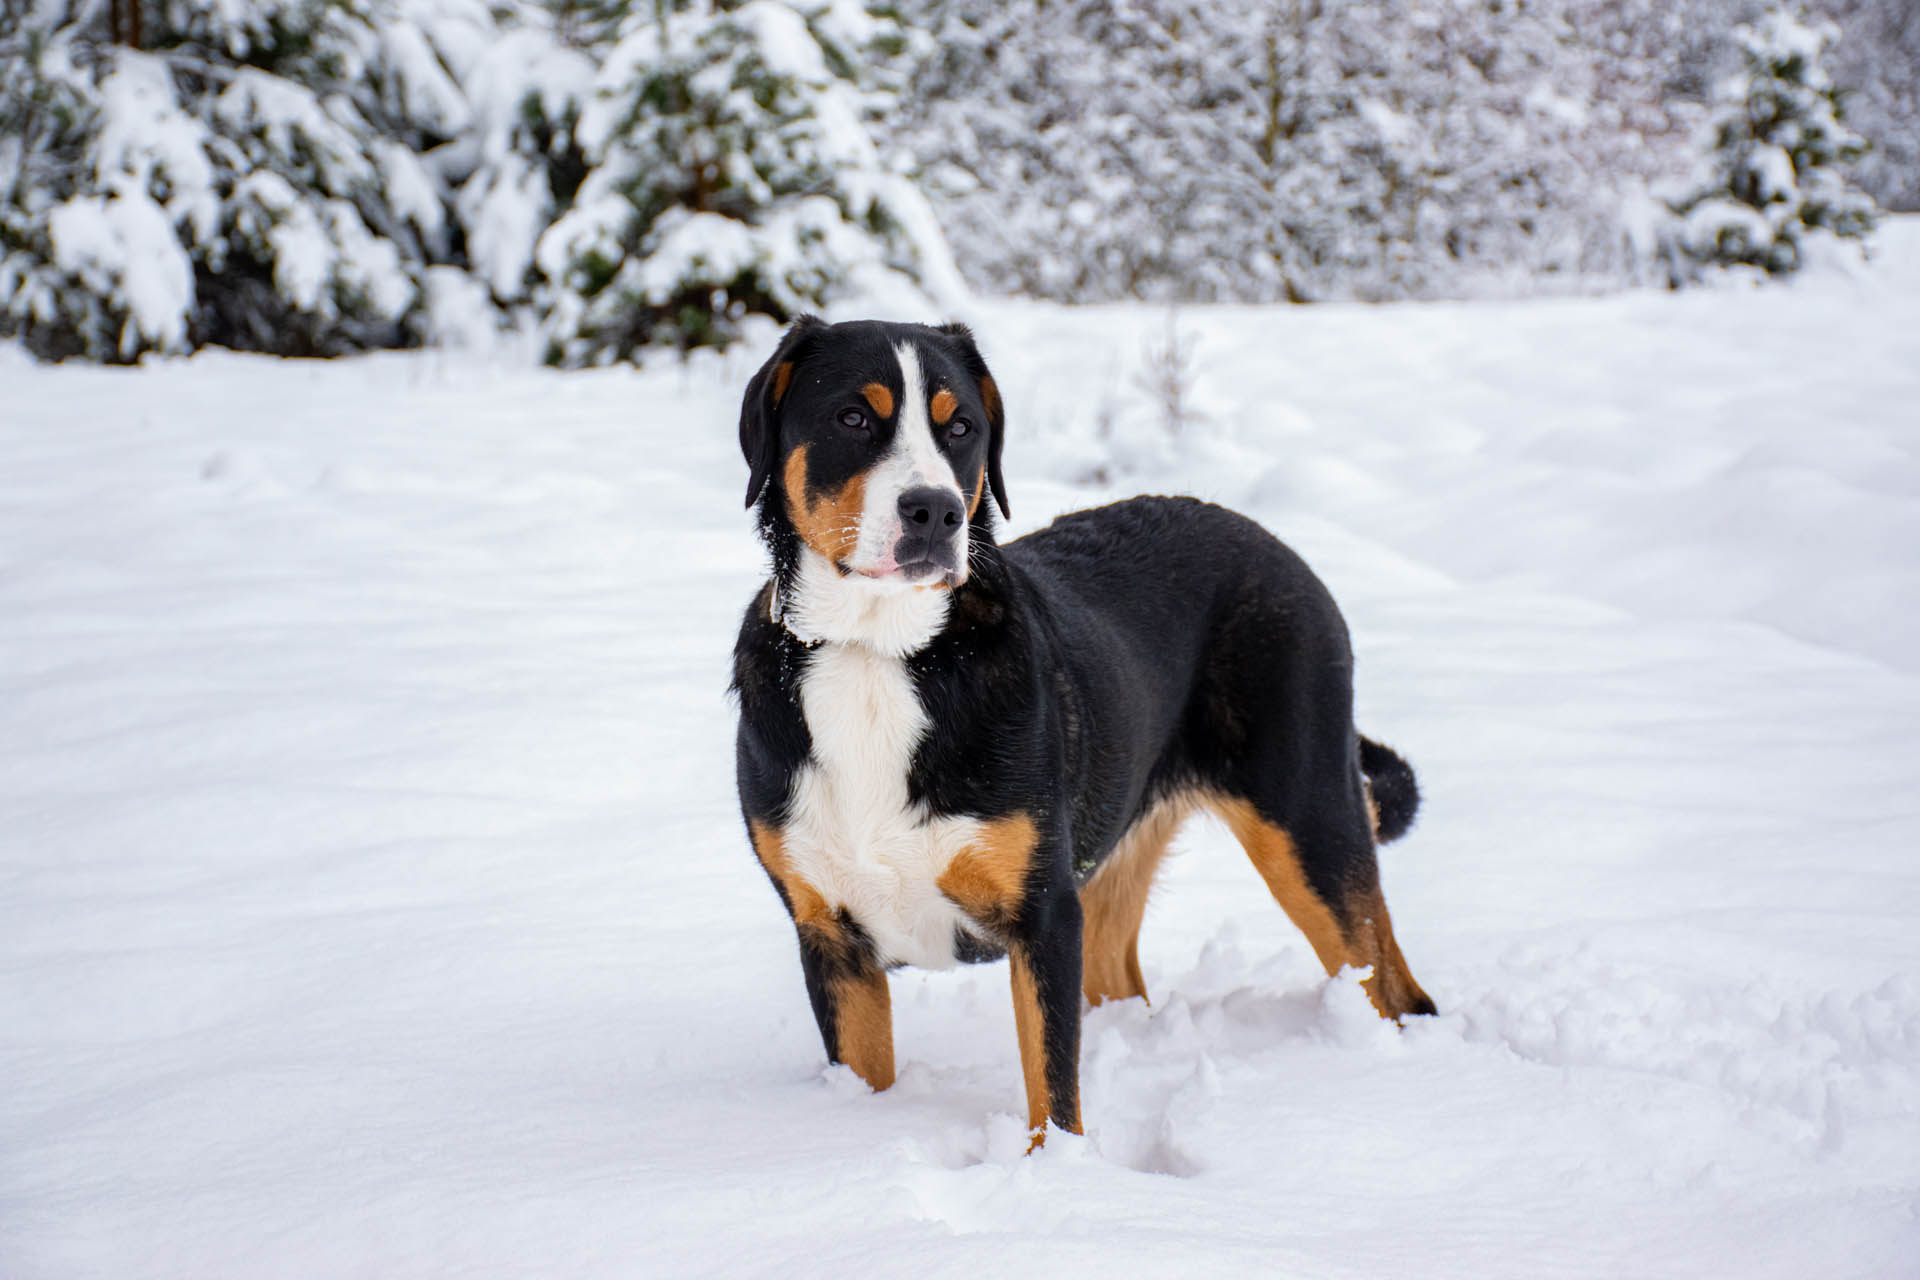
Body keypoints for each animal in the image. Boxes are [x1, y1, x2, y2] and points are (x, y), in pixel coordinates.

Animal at [725, 314, 1436, 1143]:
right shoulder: (832, 937)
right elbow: (869, 1072)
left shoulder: (1043, 913)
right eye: (851, 418)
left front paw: (1054, 1170)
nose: (935, 511)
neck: (879, 652)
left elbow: (1052, 1086)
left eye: (960, 427)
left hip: (1306, 820)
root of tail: (1272, 542)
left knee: (1391, 988)